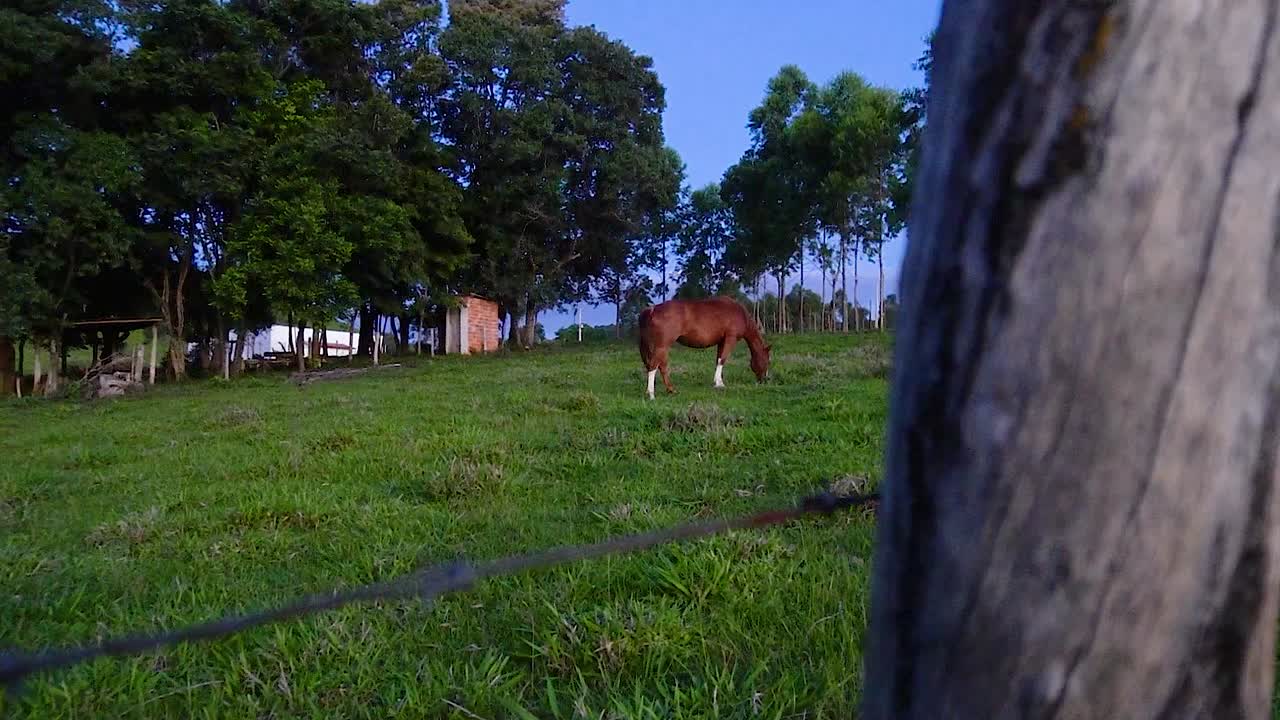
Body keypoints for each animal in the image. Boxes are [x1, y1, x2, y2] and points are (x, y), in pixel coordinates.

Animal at [636, 296, 771, 400]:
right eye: (768, 361)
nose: (764, 380)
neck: (739, 313)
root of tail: (652, 309)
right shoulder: (730, 338)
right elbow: (722, 360)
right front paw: (720, 384)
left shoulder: (721, 342)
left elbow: (718, 360)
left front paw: (717, 381)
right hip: (661, 346)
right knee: (653, 366)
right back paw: (651, 394)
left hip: (661, 348)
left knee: (661, 367)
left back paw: (671, 390)